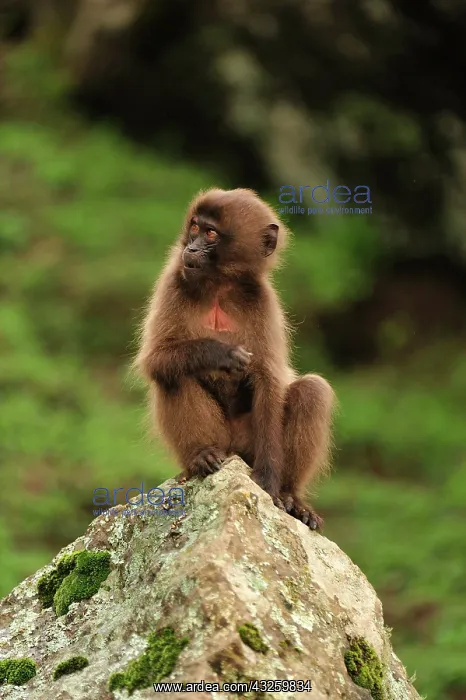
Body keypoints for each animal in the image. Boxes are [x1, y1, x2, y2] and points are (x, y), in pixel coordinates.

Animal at [135, 188, 335, 530]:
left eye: (211, 233)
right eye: (195, 227)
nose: (190, 248)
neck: (220, 286)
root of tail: (234, 452)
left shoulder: (262, 299)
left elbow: (268, 379)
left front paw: (268, 483)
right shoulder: (174, 278)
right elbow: (156, 359)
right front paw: (222, 354)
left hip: (248, 442)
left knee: (313, 391)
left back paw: (291, 496)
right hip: (223, 440)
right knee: (174, 374)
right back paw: (201, 455)